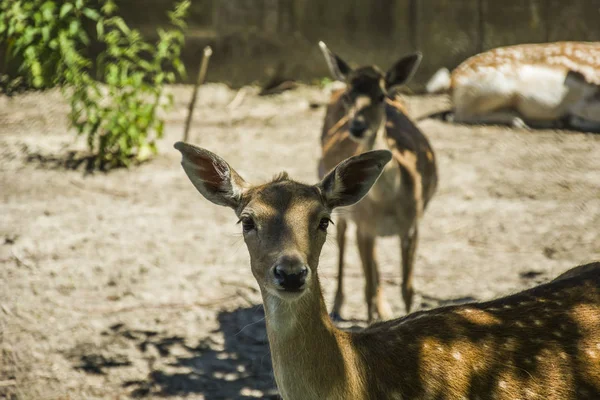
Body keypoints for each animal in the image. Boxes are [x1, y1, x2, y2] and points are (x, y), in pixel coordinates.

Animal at [318, 41, 436, 322]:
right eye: (349, 96)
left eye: (381, 96)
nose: (357, 127)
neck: (389, 202)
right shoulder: (364, 226)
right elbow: (367, 288)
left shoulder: (412, 225)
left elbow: (407, 288)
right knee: (343, 241)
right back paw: (338, 304)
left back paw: (385, 308)